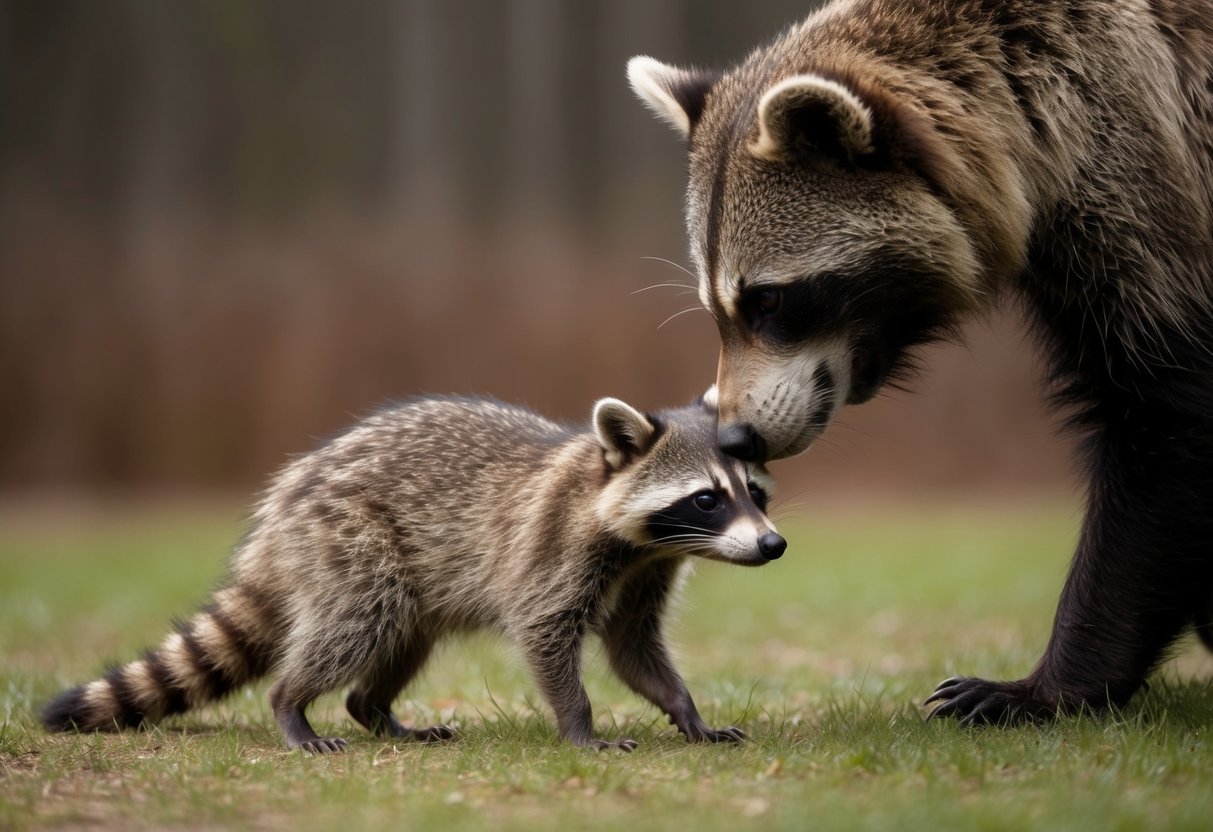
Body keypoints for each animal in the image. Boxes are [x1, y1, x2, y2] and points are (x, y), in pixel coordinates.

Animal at [41, 396, 784, 752]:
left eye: (756, 492)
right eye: (707, 498)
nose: (772, 545)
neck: (640, 541)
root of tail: (278, 519)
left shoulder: (646, 572)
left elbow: (634, 647)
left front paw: (686, 712)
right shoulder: (552, 550)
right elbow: (544, 631)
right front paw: (580, 726)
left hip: (408, 582)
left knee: (399, 642)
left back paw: (374, 709)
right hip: (349, 545)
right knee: (352, 628)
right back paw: (291, 705)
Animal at [629, 0, 1213, 724]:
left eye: (768, 300)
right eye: (717, 307)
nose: (737, 435)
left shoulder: (1140, 173)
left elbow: (1167, 415)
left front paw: (1056, 680)